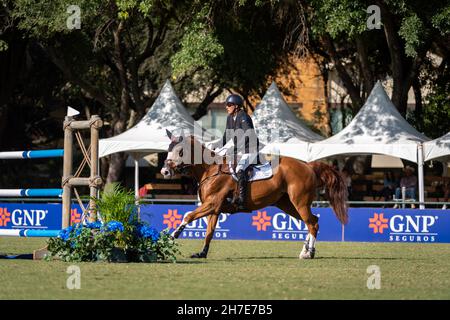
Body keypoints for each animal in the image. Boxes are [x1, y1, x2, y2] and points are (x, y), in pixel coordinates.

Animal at [162, 132, 348, 260]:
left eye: (180, 152)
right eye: (168, 150)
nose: (164, 171)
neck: (210, 169)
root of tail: (308, 165)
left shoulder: (212, 204)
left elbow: (188, 215)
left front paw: (172, 236)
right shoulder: (214, 209)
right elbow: (209, 232)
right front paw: (202, 253)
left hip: (300, 202)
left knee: (312, 224)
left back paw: (307, 254)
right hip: (287, 204)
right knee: (312, 221)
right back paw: (307, 251)